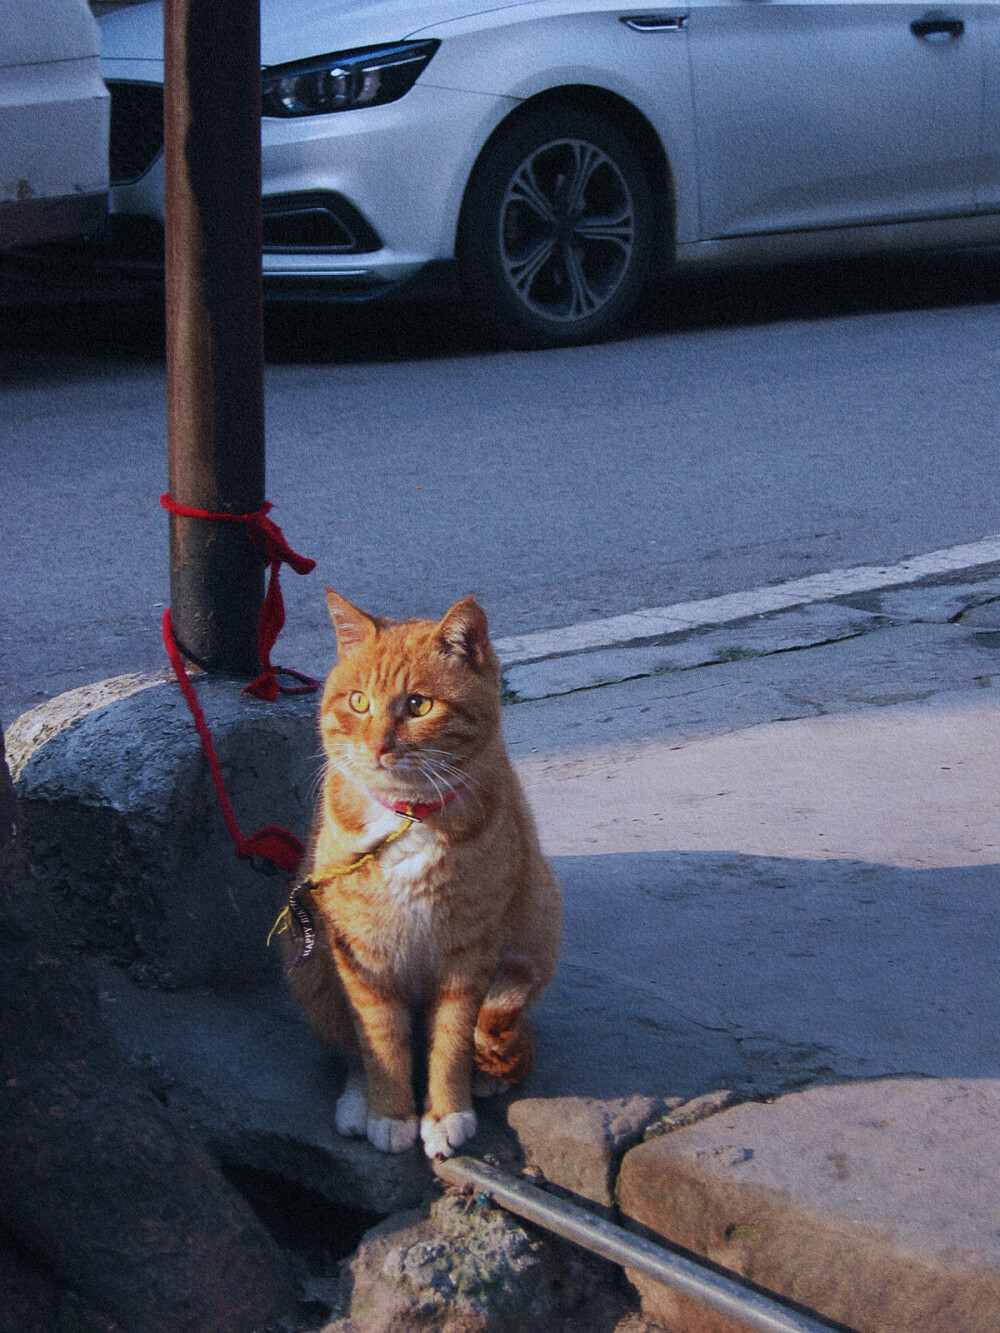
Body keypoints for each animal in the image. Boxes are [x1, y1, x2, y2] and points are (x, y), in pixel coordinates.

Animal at [288, 589, 565, 1162]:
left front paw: (446, 1111)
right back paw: (358, 1101)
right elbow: (380, 1041)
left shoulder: (469, 952)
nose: (378, 747)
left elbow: (452, 1040)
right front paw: (390, 1113)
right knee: (351, 1047)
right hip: (310, 968)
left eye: (418, 705)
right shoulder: (362, 953)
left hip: (540, 926)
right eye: (358, 703)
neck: (410, 816)